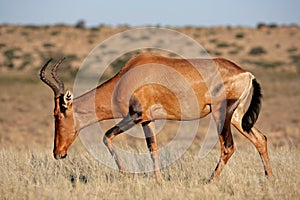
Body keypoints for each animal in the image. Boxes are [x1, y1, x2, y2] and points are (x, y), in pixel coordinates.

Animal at [39, 52, 272, 184]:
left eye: (58, 113)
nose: (58, 153)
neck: (130, 74)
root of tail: (246, 73)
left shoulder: (136, 116)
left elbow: (108, 137)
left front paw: (130, 176)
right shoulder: (146, 120)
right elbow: (152, 148)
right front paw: (157, 182)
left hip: (221, 113)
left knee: (228, 147)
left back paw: (210, 181)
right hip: (237, 117)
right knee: (260, 139)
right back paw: (270, 178)